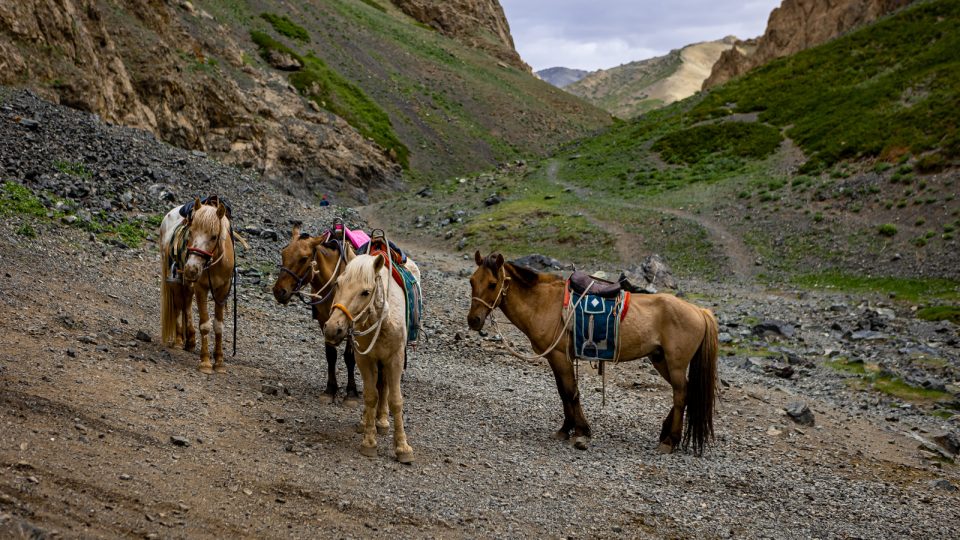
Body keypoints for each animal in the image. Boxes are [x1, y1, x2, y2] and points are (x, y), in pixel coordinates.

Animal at [160, 198, 237, 376]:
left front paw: (219, 362)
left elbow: (218, 326)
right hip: (176, 278)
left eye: (214, 236)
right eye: (191, 232)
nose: (192, 268)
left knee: (186, 302)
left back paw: (190, 340)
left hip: (188, 282)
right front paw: (206, 362)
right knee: (178, 304)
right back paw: (179, 341)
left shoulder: (222, 290)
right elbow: (205, 325)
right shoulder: (201, 288)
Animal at [274, 224, 360, 404]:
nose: (279, 291)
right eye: (283, 253)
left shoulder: (351, 324)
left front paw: (351, 393)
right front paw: (330, 390)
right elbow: (331, 355)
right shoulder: (324, 321)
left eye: (304, 258)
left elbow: (349, 357)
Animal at [322, 254, 420, 464]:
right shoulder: (364, 359)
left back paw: (382, 422)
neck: (381, 321)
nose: (333, 329)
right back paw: (368, 420)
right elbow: (370, 396)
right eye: (337, 284)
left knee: (385, 387)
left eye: (365, 292)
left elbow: (395, 400)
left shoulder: (395, 359)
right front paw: (369, 442)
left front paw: (402, 448)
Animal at [468, 251, 716, 454]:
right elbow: (563, 392)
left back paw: (670, 441)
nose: (473, 320)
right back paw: (666, 433)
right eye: (472, 281)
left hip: (675, 364)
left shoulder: (560, 356)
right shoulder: (555, 357)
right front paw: (567, 429)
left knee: (680, 395)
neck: (543, 303)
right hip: (660, 360)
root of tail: (699, 311)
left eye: (492, 284)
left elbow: (570, 392)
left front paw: (579, 430)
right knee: (684, 393)